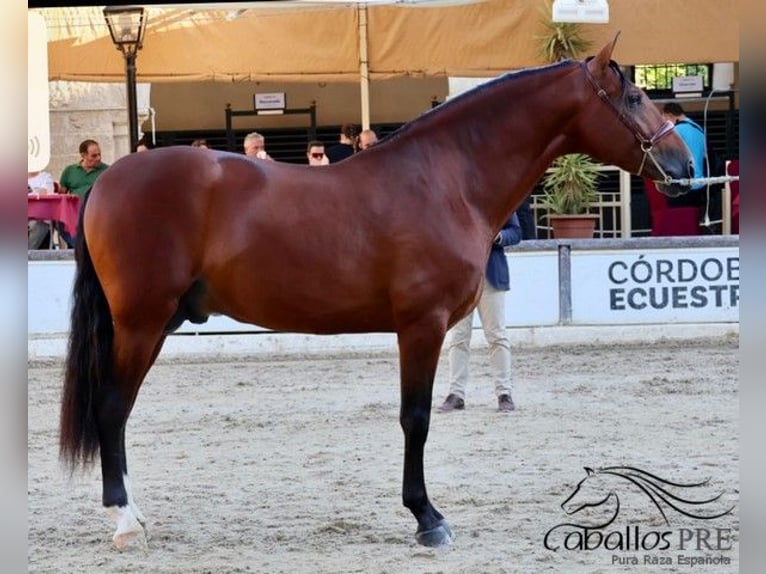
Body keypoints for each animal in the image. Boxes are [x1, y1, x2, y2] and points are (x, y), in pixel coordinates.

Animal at [60, 36, 693, 550]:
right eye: (633, 98)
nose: (683, 166)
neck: (445, 178)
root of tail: (109, 179)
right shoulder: (422, 324)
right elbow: (416, 418)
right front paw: (427, 519)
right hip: (141, 322)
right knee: (111, 408)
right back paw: (126, 523)